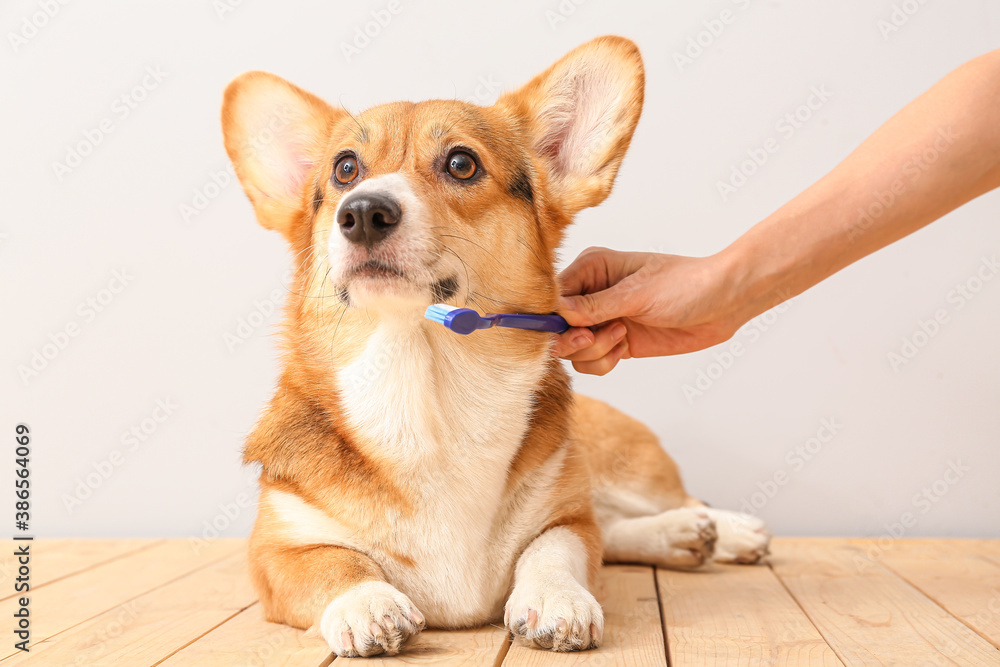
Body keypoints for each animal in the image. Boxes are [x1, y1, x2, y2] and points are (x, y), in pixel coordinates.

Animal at [223, 35, 768, 656]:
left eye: (462, 163)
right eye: (345, 169)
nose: (361, 212)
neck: (425, 388)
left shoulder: (565, 519)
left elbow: (553, 548)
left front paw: (557, 600)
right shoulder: (276, 551)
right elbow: (335, 563)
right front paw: (369, 604)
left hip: (626, 470)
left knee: (661, 506)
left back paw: (725, 530)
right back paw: (680, 537)